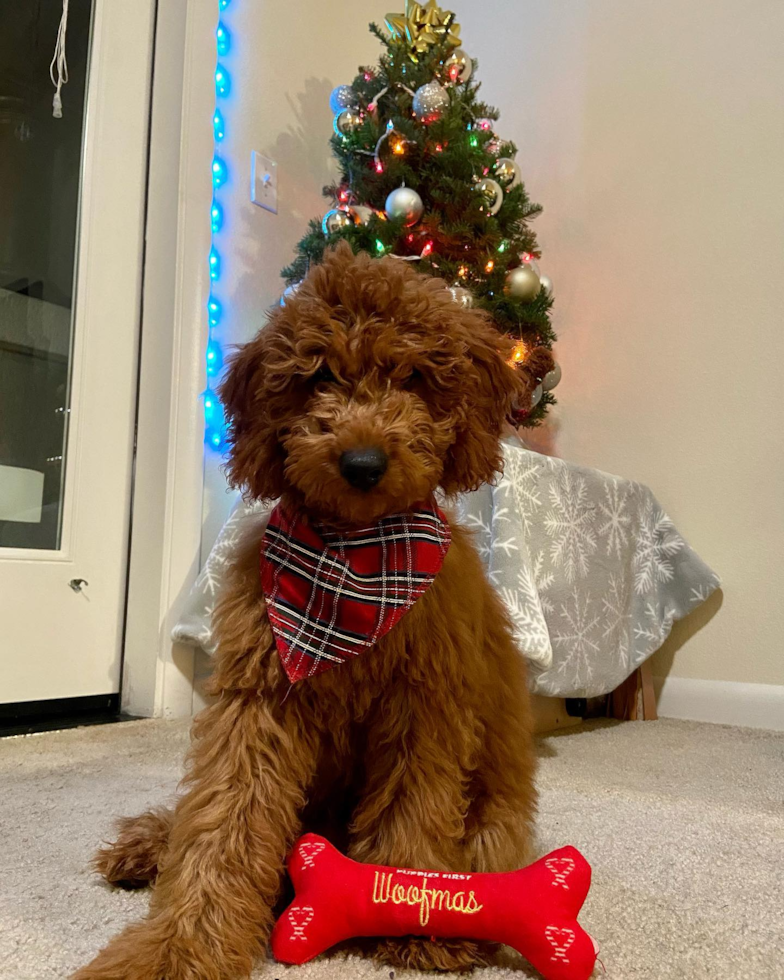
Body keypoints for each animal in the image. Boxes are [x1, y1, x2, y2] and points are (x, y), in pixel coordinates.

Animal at [73, 239, 536, 980]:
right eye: (317, 375)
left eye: (413, 376)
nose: (362, 462)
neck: (355, 563)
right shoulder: (258, 701)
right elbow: (223, 821)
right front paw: (178, 948)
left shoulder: (424, 706)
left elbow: (413, 811)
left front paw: (416, 920)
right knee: (189, 816)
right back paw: (149, 844)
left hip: (497, 822)